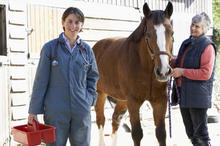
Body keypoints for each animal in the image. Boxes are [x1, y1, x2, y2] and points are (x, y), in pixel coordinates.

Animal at [93, 1, 174, 146]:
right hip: (100, 93)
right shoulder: (133, 102)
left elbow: (161, 133)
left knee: (116, 119)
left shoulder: (160, 101)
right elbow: (137, 134)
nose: (164, 71)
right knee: (101, 119)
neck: (147, 69)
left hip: (122, 99)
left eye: (171, 33)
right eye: (148, 34)